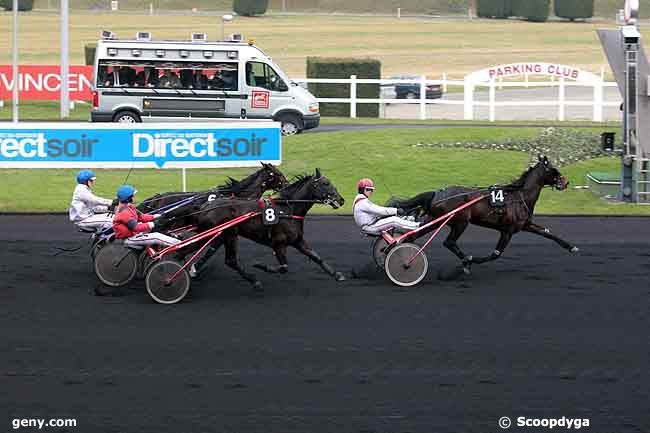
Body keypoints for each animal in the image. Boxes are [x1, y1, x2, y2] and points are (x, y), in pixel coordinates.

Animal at [172, 169, 346, 290]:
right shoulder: (278, 243)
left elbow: (316, 257)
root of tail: (204, 207)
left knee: (226, 259)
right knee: (221, 258)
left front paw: (337, 274)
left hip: (224, 234)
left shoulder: (298, 240)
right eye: (325, 183)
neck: (287, 209)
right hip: (224, 234)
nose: (341, 200)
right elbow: (284, 267)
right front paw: (261, 266)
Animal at [388, 154, 580, 272]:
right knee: (449, 242)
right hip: (460, 221)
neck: (520, 196)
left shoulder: (525, 225)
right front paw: (473, 261)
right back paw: (466, 261)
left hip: (433, 219)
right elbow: (496, 254)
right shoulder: (508, 230)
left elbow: (548, 233)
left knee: (413, 235)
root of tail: (437, 193)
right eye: (553, 170)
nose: (566, 182)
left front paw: (571, 247)